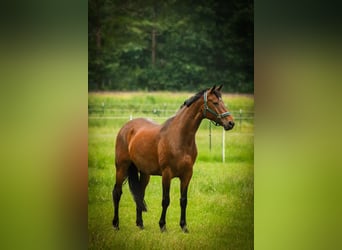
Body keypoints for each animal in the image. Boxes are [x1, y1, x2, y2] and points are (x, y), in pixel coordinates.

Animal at [112, 85, 235, 232]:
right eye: (215, 103)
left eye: (223, 102)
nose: (231, 123)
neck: (179, 137)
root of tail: (125, 127)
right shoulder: (167, 174)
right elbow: (166, 200)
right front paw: (162, 226)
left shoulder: (187, 174)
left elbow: (183, 200)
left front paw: (184, 226)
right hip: (121, 167)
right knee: (117, 192)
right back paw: (116, 224)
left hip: (145, 173)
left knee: (139, 194)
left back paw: (140, 224)